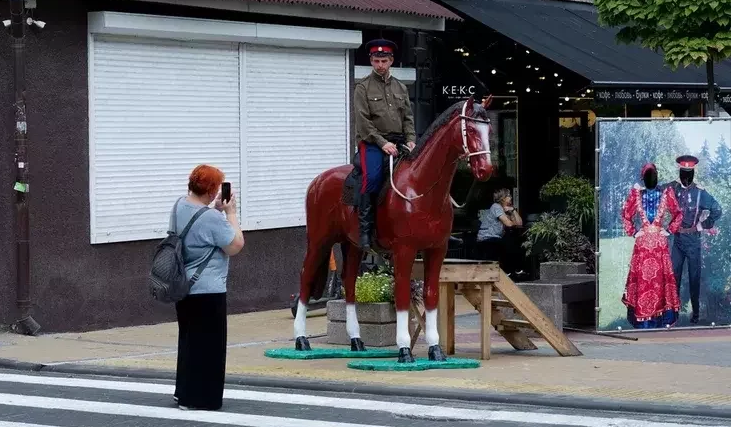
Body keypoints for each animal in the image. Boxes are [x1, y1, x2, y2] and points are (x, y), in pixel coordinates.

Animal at [294, 95, 494, 362]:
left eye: (488, 130)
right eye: (470, 130)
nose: (485, 170)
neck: (421, 188)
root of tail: (318, 181)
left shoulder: (436, 250)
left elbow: (430, 295)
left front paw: (435, 349)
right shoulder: (404, 251)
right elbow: (401, 295)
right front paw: (404, 349)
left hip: (353, 245)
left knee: (349, 283)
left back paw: (356, 340)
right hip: (318, 241)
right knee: (306, 278)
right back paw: (301, 339)